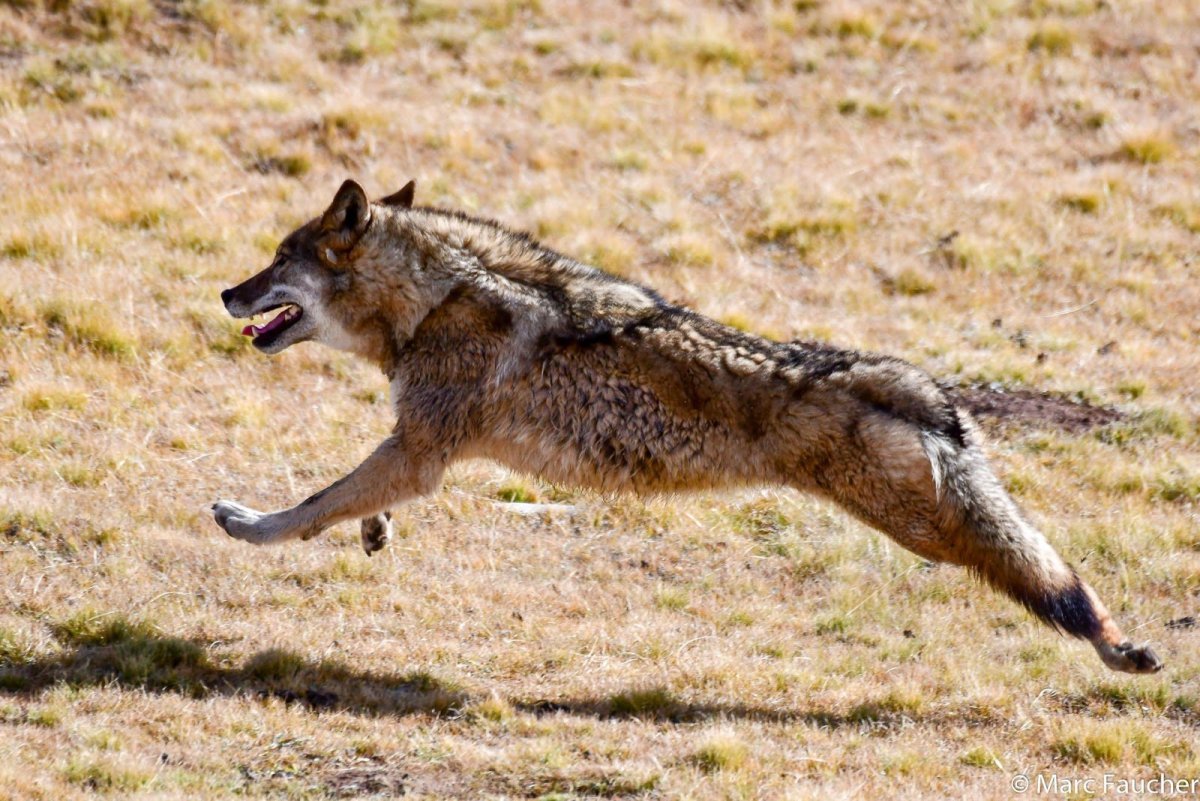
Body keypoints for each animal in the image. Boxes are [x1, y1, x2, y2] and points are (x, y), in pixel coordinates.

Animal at [215, 179, 1162, 674]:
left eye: (278, 260)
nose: (225, 291)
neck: (432, 300)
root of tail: (921, 389)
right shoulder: (418, 449)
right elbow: (352, 497)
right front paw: (373, 531)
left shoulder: (420, 448)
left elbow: (309, 505)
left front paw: (249, 525)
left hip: (930, 533)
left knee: (1051, 579)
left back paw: (1119, 650)